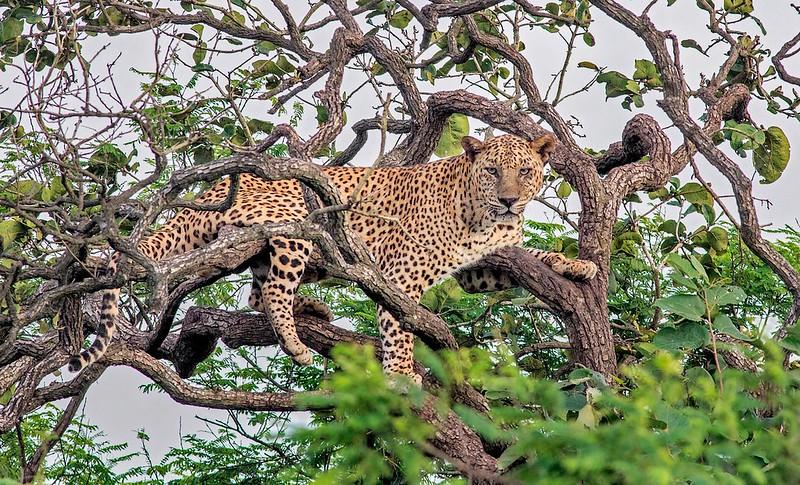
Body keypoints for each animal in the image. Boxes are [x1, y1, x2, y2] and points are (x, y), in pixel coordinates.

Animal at [67, 132, 592, 382]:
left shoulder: (476, 268)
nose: (509, 200)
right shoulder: (401, 275)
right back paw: (296, 339)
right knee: (273, 290)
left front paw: (577, 264)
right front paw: (403, 374)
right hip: (296, 223)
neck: (484, 216)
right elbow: (399, 327)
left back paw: (312, 310)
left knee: (258, 291)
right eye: (493, 171)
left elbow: (533, 256)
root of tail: (211, 190)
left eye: (525, 172)